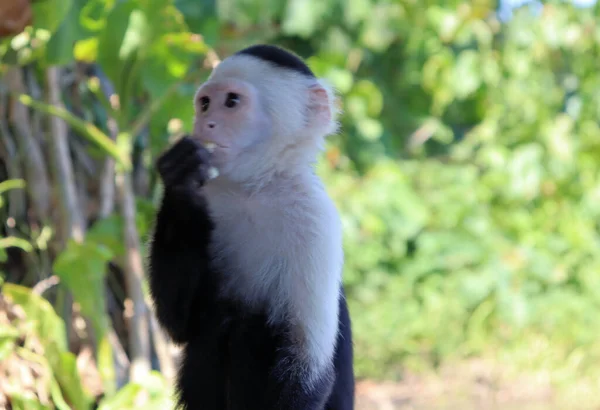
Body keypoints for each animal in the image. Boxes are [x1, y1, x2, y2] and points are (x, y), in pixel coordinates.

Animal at [148, 43, 354, 408]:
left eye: (232, 101)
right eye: (205, 103)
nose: (206, 123)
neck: (252, 190)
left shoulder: (317, 220)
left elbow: (307, 368)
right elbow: (180, 323)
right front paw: (180, 176)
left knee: (253, 325)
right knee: (217, 321)